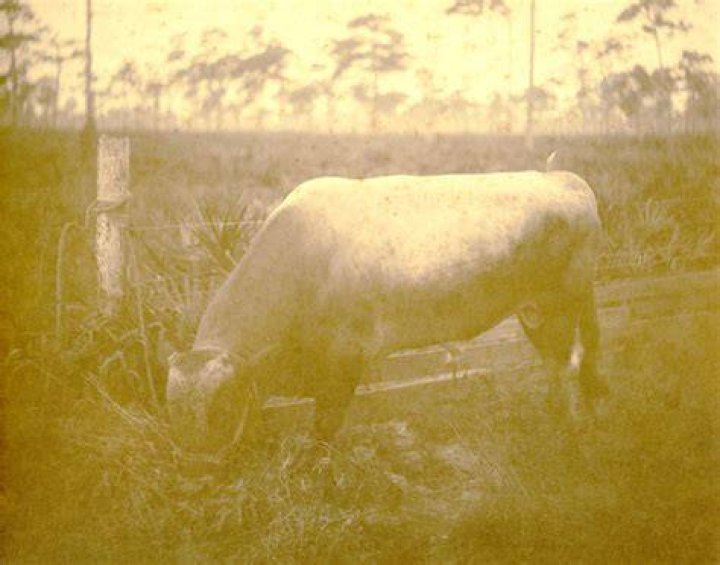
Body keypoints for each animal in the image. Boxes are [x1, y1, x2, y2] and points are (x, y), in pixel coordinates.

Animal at [166, 170, 607, 453]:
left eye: (221, 408)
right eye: (173, 408)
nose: (196, 468)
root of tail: (564, 178)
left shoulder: (343, 365)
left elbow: (325, 427)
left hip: (560, 305)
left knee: (568, 362)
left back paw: (573, 427)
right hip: (536, 311)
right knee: (556, 363)